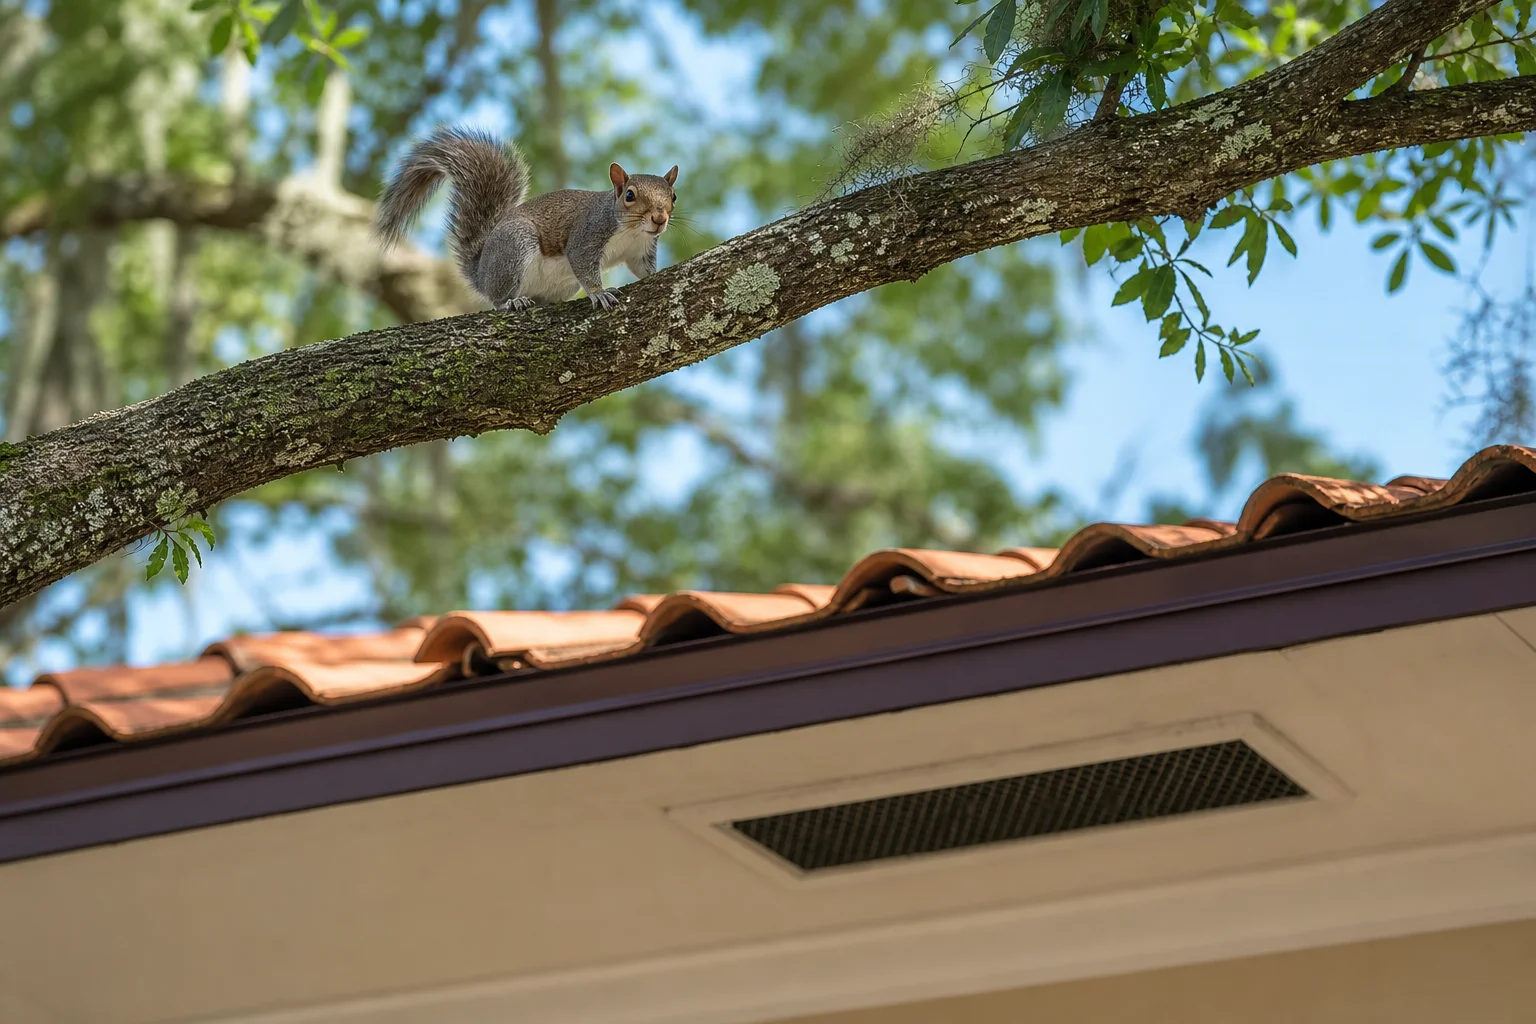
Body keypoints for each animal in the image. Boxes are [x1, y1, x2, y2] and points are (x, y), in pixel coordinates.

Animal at [373, 124, 679, 312]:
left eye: (673, 196)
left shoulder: (641, 250)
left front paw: (659, 274)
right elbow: (582, 261)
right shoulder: (589, 233)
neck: (631, 231)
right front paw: (599, 292)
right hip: (514, 247)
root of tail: (481, 272)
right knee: (497, 298)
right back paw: (511, 302)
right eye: (629, 195)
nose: (659, 219)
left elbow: (642, 269)